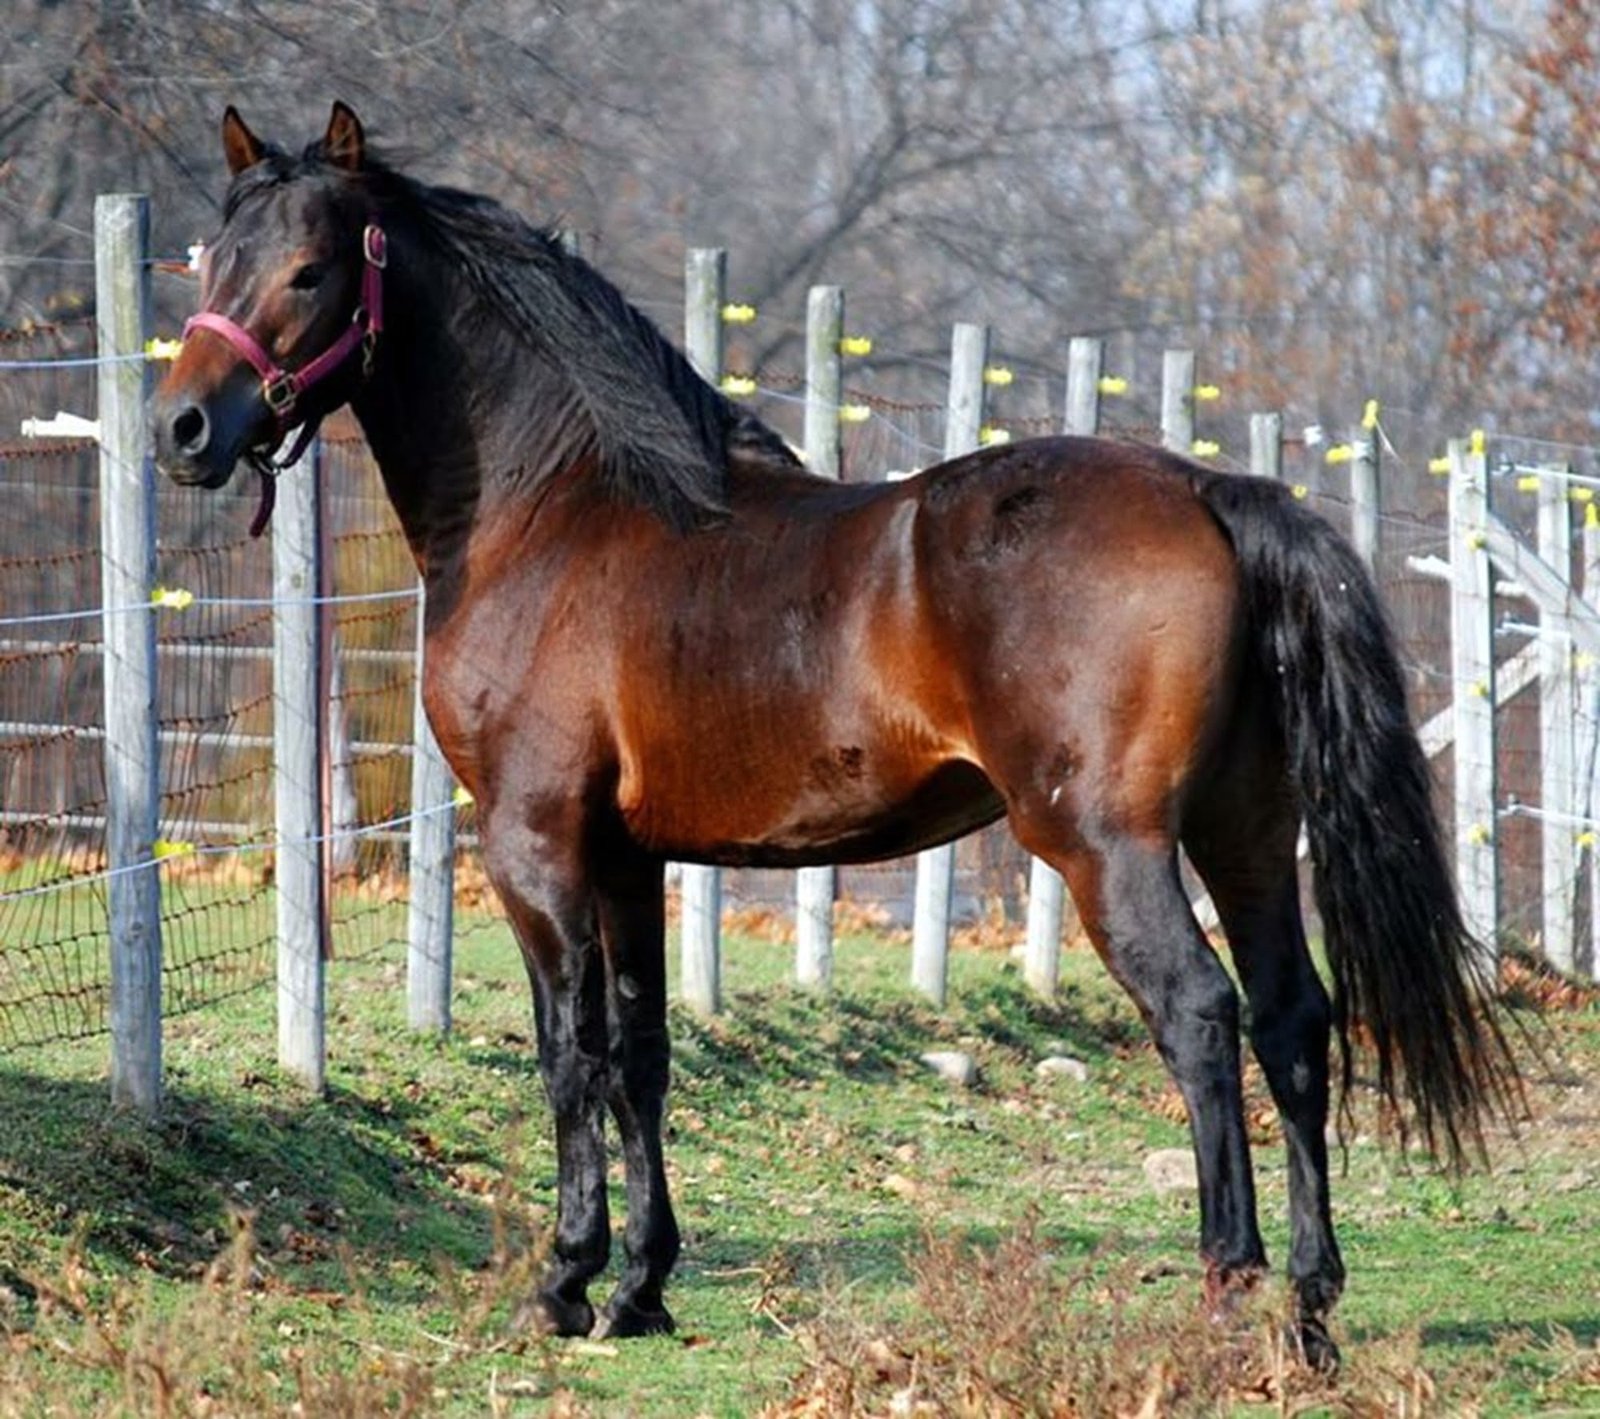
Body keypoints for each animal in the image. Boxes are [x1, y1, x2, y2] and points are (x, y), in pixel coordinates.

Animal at [152, 102, 1519, 1363]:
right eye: (211, 259)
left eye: (310, 271)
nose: (183, 431)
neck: (558, 512)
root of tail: (1205, 490)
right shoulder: (628, 859)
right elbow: (641, 1054)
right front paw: (642, 1288)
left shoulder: (535, 847)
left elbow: (567, 1054)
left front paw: (565, 1281)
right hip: (1246, 835)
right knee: (1292, 1019)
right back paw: (1311, 1310)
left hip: (1106, 846)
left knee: (1198, 1016)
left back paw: (1228, 1298)